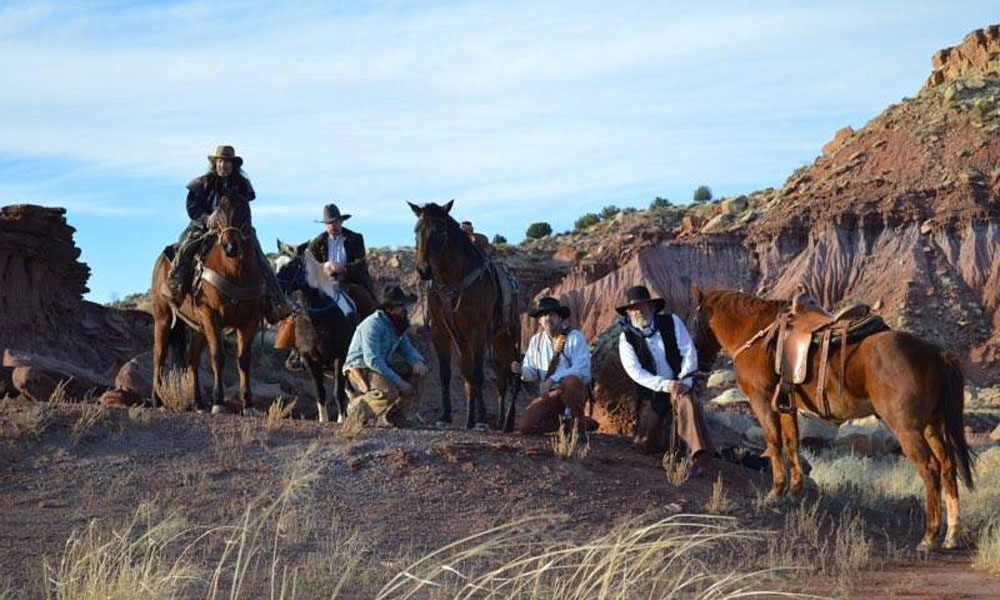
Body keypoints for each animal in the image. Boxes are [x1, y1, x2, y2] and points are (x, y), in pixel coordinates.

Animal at [149, 195, 266, 414]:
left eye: (245, 211)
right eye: (218, 214)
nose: (231, 247)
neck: (235, 274)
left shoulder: (250, 321)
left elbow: (244, 360)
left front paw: (248, 404)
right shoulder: (211, 315)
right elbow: (218, 356)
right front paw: (218, 402)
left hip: (199, 328)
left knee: (192, 360)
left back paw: (198, 403)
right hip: (163, 318)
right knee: (159, 355)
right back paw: (157, 400)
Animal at [274, 239, 360, 422]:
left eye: (292, 265)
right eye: (275, 263)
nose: (276, 292)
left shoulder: (339, 358)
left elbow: (338, 392)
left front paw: (341, 419)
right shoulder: (310, 361)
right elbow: (320, 393)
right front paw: (323, 420)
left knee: (349, 389)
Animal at [406, 202, 520, 432]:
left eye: (440, 230)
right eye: (416, 230)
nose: (423, 270)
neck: (453, 281)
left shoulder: (478, 332)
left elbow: (478, 374)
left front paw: (483, 420)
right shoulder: (440, 332)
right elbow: (447, 374)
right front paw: (445, 416)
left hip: (506, 337)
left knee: (506, 378)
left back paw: (503, 422)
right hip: (470, 342)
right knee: (480, 378)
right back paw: (471, 420)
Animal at [692, 288, 972, 552]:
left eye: (694, 319)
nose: (699, 367)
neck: (756, 334)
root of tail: (937, 354)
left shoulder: (762, 401)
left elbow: (773, 442)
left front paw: (776, 492)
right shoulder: (786, 405)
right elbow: (792, 442)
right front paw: (795, 491)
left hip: (909, 430)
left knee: (930, 470)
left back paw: (929, 537)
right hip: (933, 427)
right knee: (948, 467)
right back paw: (951, 536)